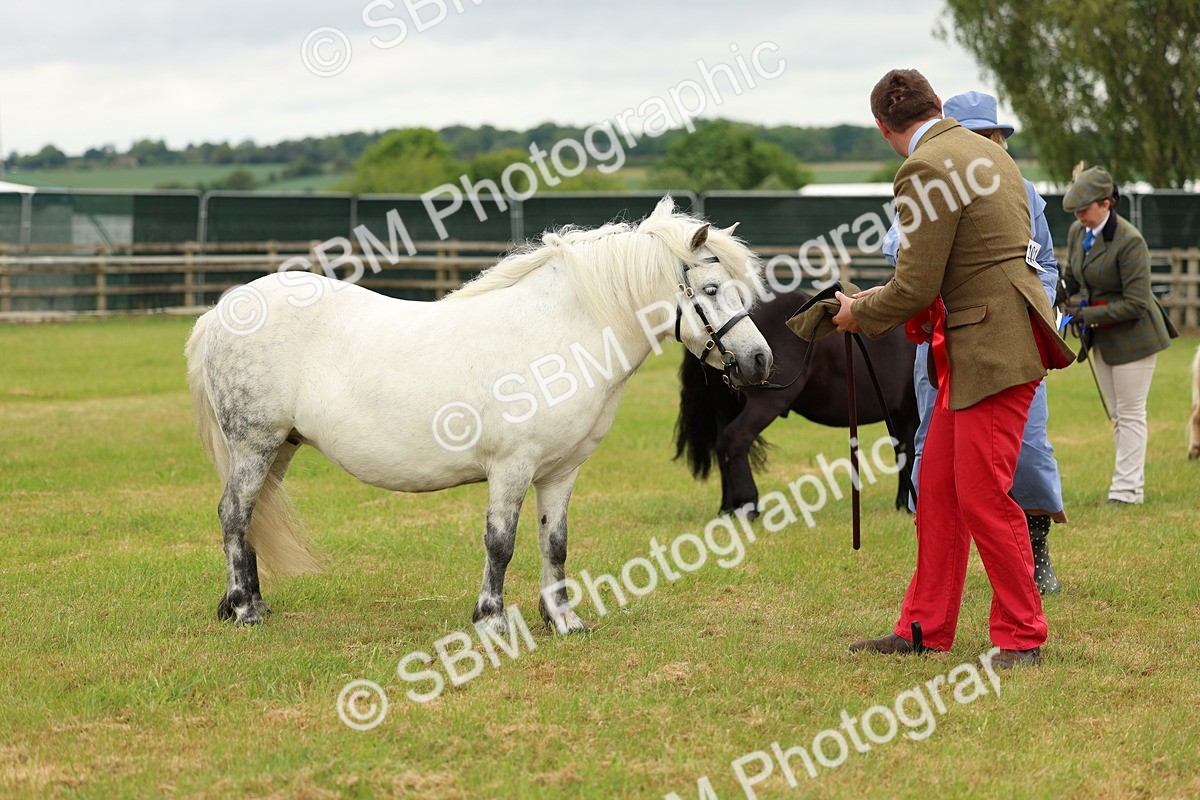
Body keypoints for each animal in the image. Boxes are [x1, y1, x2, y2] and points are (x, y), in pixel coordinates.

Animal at [186, 196, 772, 635]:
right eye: (712, 289)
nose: (759, 361)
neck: (560, 335)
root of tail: (223, 310)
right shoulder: (511, 468)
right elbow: (501, 543)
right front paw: (491, 620)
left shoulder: (560, 472)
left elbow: (554, 542)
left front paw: (563, 620)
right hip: (254, 444)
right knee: (234, 514)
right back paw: (245, 609)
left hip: (279, 448)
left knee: (250, 515)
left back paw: (248, 602)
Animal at [675, 286, 919, 517]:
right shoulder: (911, 414)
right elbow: (910, 452)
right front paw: (909, 506)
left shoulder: (900, 414)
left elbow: (902, 451)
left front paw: (902, 503)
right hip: (766, 403)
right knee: (736, 437)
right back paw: (748, 504)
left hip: (725, 407)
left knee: (721, 446)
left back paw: (728, 508)